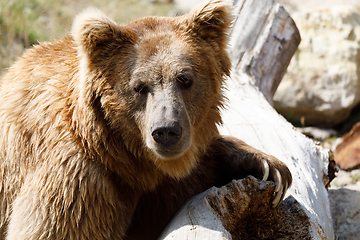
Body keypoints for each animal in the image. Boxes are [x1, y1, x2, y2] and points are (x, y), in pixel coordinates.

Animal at [0, 0, 292, 239]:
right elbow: (53, 228)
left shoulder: (154, 189)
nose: (166, 131)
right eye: (139, 86)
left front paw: (269, 167)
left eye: (185, 79)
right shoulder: (78, 181)